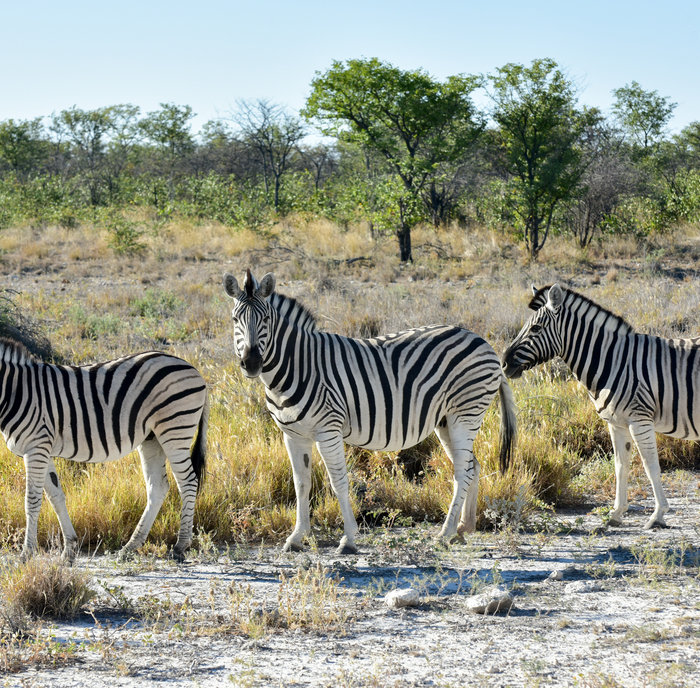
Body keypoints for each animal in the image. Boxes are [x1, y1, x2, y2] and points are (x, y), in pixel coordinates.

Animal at [0, 338, 211, 560]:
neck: (15, 392)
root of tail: (193, 369)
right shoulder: (43, 450)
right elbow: (56, 497)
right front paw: (70, 549)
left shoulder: (36, 447)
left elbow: (32, 500)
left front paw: (26, 554)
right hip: (152, 438)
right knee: (158, 487)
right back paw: (130, 546)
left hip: (175, 430)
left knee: (188, 482)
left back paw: (180, 545)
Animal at [221, 268, 516, 552]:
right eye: (235, 320)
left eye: (266, 319)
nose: (251, 363)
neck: (298, 366)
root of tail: (483, 343)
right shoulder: (293, 435)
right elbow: (301, 483)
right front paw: (296, 537)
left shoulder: (328, 430)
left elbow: (338, 481)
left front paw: (349, 539)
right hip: (445, 420)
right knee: (472, 466)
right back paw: (462, 529)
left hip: (464, 414)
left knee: (463, 471)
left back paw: (445, 533)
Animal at [500, 282, 696, 528]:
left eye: (535, 328)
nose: (503, 363)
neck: (613, 361)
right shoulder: (617, 423)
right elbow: (621, 465)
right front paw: (616, 513)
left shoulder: (640, 419)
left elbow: (650, 464)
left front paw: (658, 514)